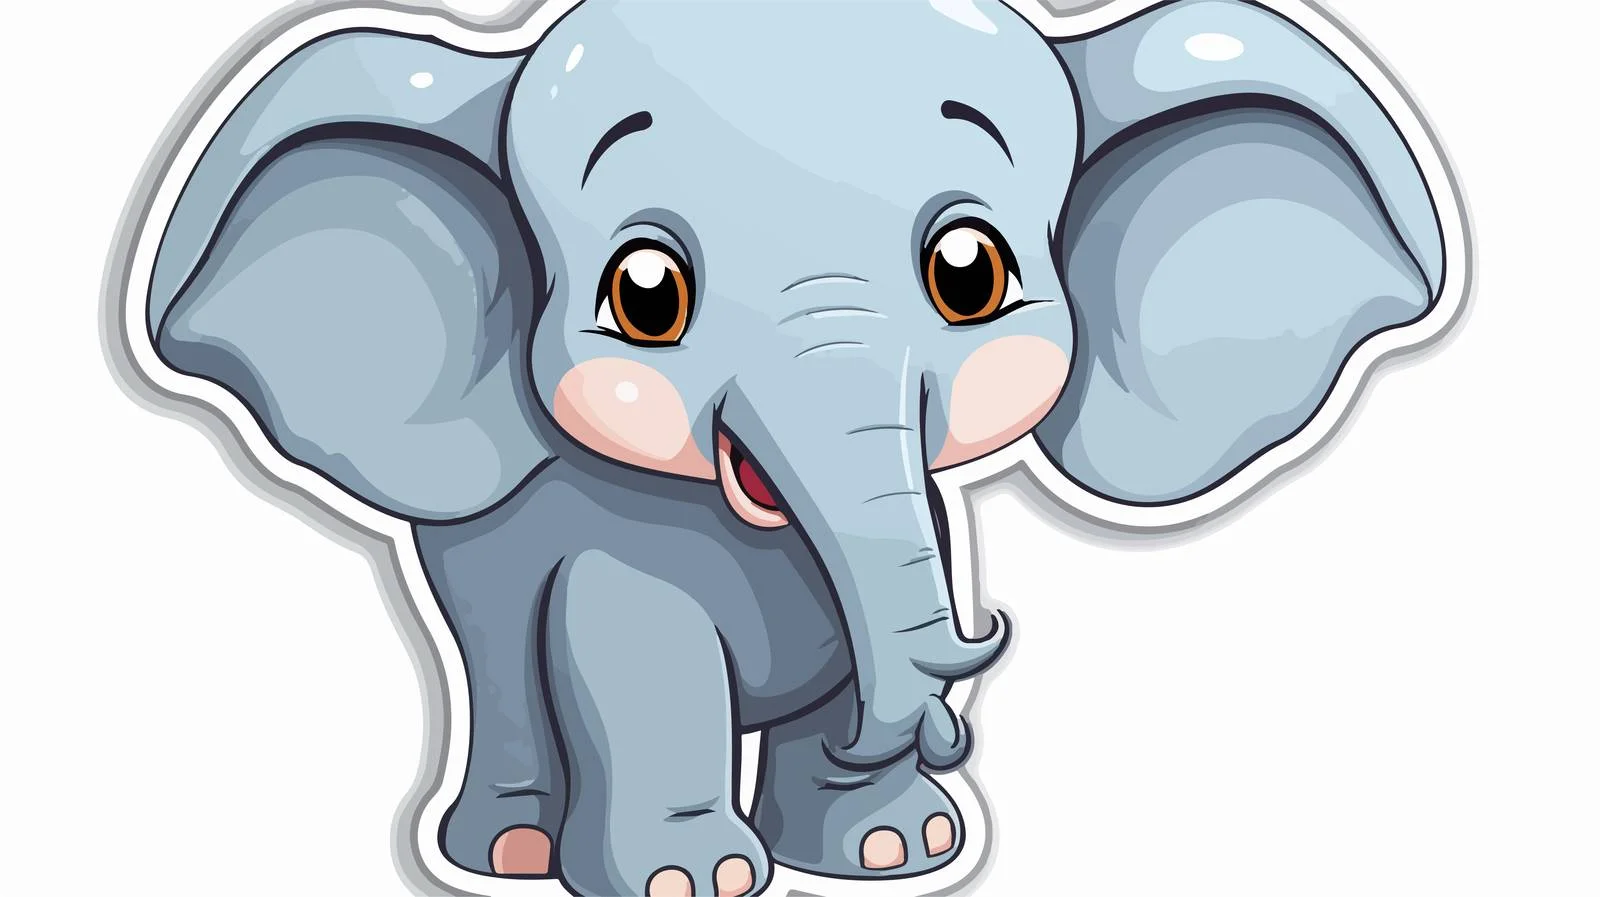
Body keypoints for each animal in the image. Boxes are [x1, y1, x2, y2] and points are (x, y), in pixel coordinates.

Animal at [135, 0, 1453, 894]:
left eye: (969, 273)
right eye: (646, 296)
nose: (968, 675)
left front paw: (894, 850)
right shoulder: (608, 556)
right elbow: (635, 662)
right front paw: (693, 883)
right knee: (500, 657)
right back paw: (510, 850)